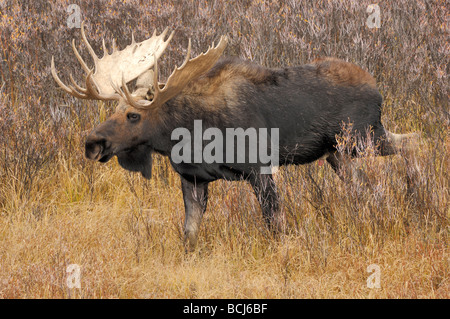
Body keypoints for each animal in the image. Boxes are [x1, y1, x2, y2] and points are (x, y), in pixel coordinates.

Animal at [51, 23, 414, 251]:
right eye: (112, 109)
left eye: (133, 114)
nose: (92, 143)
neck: (191, 133)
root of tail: (377, 89)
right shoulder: (193, 179)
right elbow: (189, 235)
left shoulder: (261, 168)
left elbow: (275, 224)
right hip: (339, 153)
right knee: (369, 180)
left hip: (365, 138)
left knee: (414, 142)